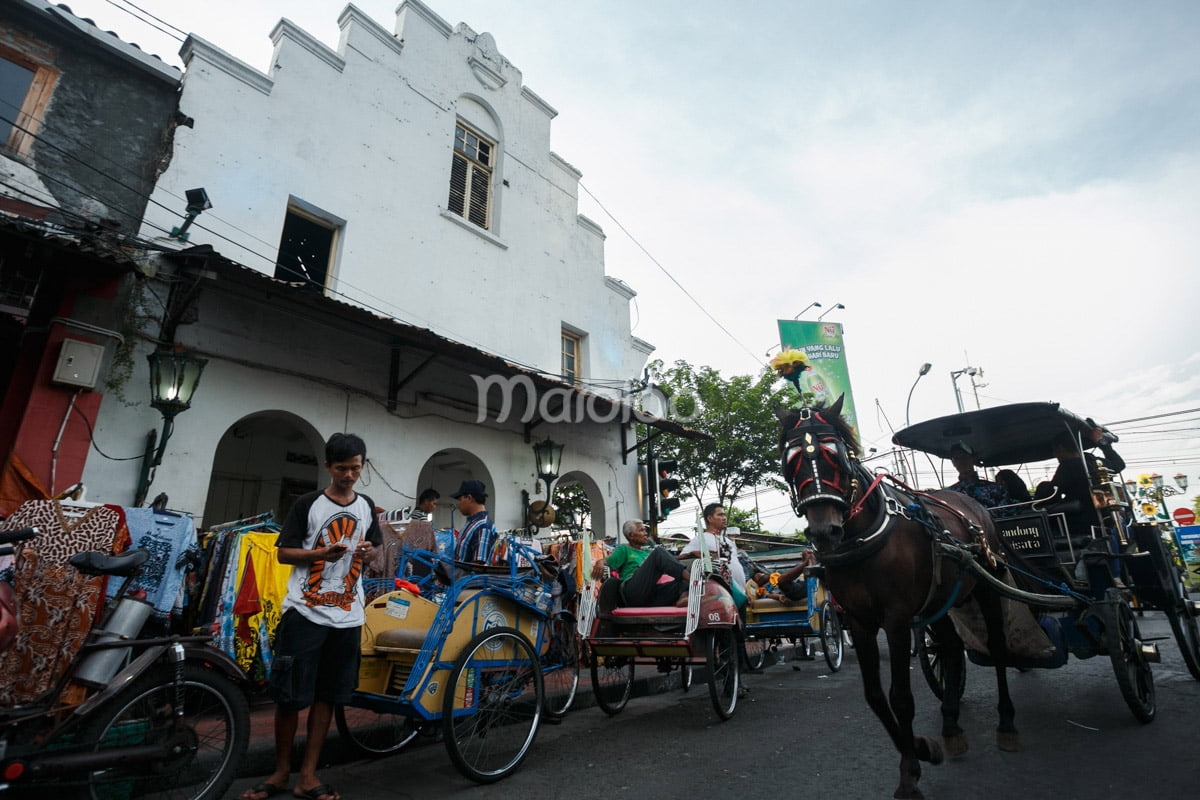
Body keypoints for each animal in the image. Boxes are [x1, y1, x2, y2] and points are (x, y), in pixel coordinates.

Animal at [772, 400, 1017, 800]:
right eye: (788, 463)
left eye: (836, 456)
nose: (825, 532)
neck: (863, 539)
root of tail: (968, 502)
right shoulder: (858, 620)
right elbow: (874, 695)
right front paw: (920, 747)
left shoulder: (898, 619)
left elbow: (900, 695)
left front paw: (910, 772)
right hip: (938, 602)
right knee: (950, 647)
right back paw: (951, 725)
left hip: (986, 585)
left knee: (996, 646)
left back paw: (1007, 722)